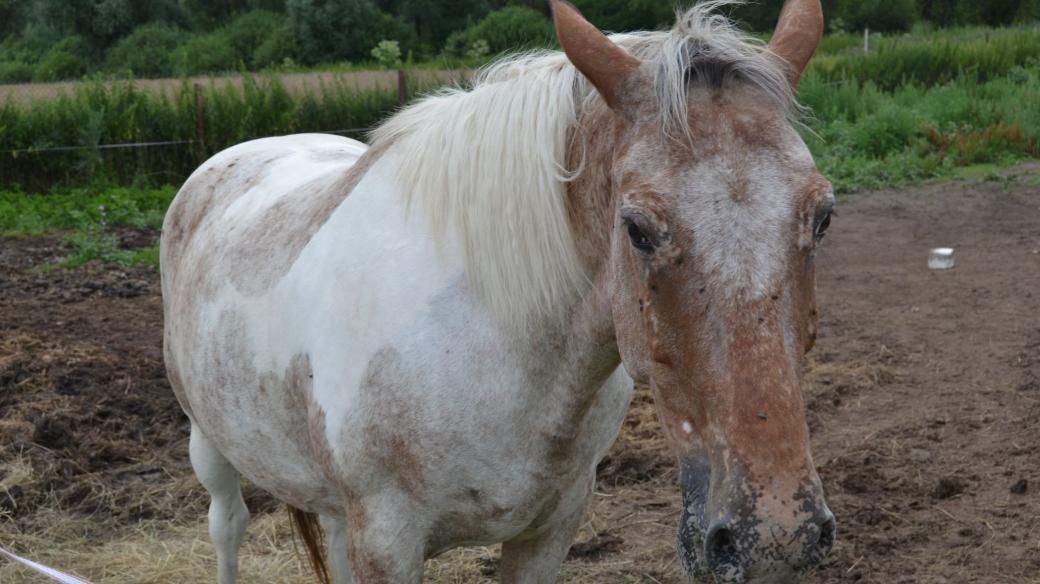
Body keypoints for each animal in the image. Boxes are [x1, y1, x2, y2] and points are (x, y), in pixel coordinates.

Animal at [162, 2, 840, 577]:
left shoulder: (550, 529)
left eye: (822, 216)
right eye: (637, 229)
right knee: (228, 525)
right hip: (210, 445)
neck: (490, 345)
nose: (776, 535)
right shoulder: (386, 541)